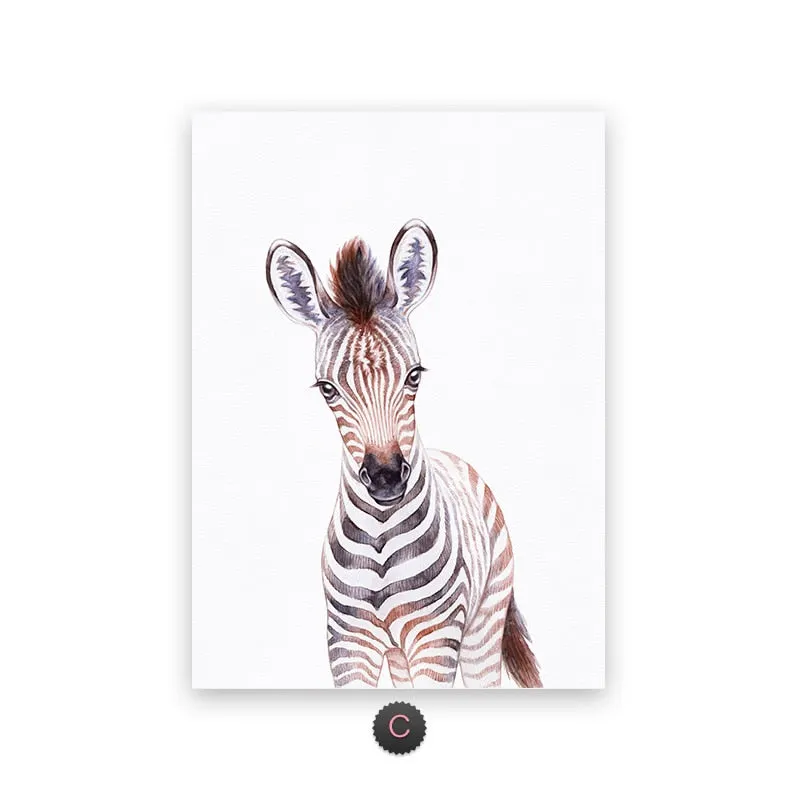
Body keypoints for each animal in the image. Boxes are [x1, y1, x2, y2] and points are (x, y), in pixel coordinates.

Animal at [266, 220, 542, 688]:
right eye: (327, 389)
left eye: (414, 375)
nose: (386, 477)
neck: (379, 538)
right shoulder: (347, 644)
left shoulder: (436, 639)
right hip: (399, 654)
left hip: (483, 626)